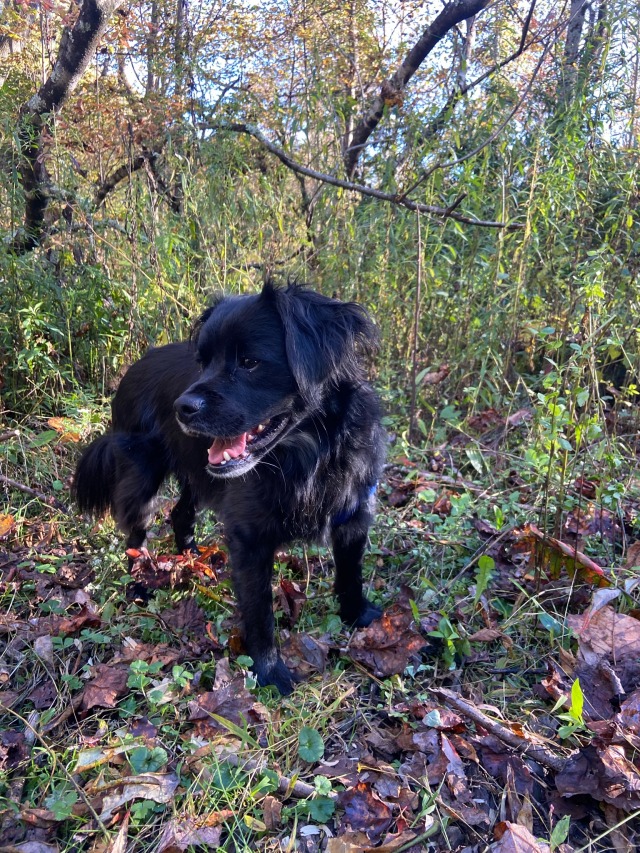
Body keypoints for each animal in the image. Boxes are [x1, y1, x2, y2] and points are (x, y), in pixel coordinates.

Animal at [75, 280, 384, 692]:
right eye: (202, 362)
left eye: (250, 362)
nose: (182, 408)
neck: (309, 458)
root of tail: (133, 367)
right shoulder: (249, 537)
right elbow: (259, 611)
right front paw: (270, 673)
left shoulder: (353, 517)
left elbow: (351, 576)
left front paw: (359, 618)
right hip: (143, 476)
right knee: (135, 536)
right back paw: (138, 585)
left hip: (197, 472)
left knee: (180, 514)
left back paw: (193, 558)